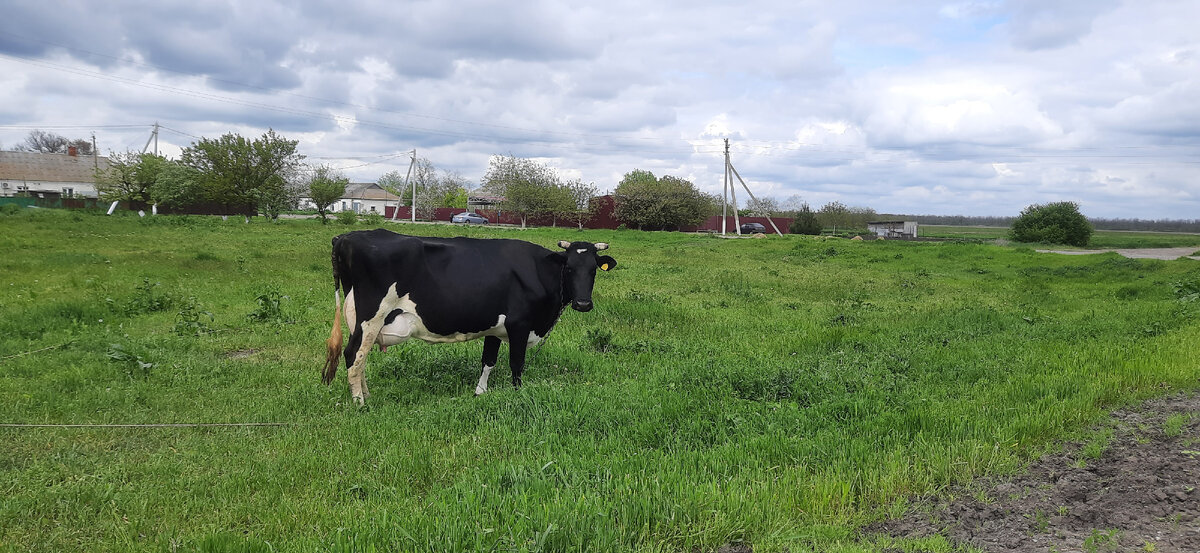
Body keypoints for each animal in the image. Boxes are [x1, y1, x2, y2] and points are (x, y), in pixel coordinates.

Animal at [321, 227, 619, 405]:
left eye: (593, 269)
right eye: (569, 268)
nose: (583, 304)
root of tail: (346, 237)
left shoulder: (496, 327)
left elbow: (488, 360)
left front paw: (480, 392)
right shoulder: (519, 325)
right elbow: (516, 364)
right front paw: (518, 394)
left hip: (362, 320)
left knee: (359, 357)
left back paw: (367, 396)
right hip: (370, 315)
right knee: (353, 355)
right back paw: (360, 404)